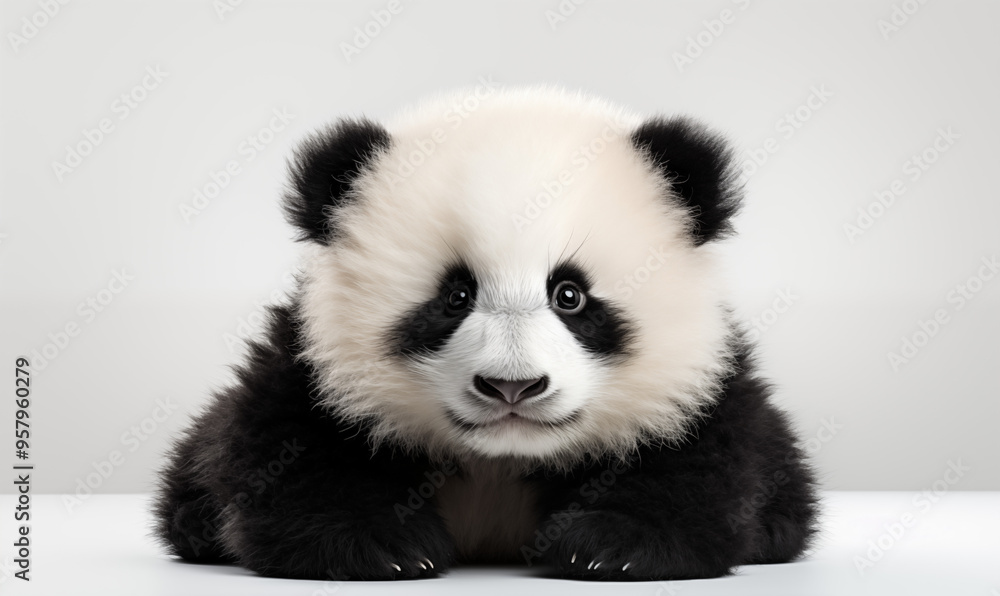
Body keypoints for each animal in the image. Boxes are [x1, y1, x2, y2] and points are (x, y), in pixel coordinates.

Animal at [154, 87, 818, 581]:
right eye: (455, 297)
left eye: (570, 295)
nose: (511, 387)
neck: (501, 461)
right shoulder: (308, 365)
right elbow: (280, 452)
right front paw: (382, 545)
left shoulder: (701, 379)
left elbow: (711, 463)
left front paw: (611, 545)